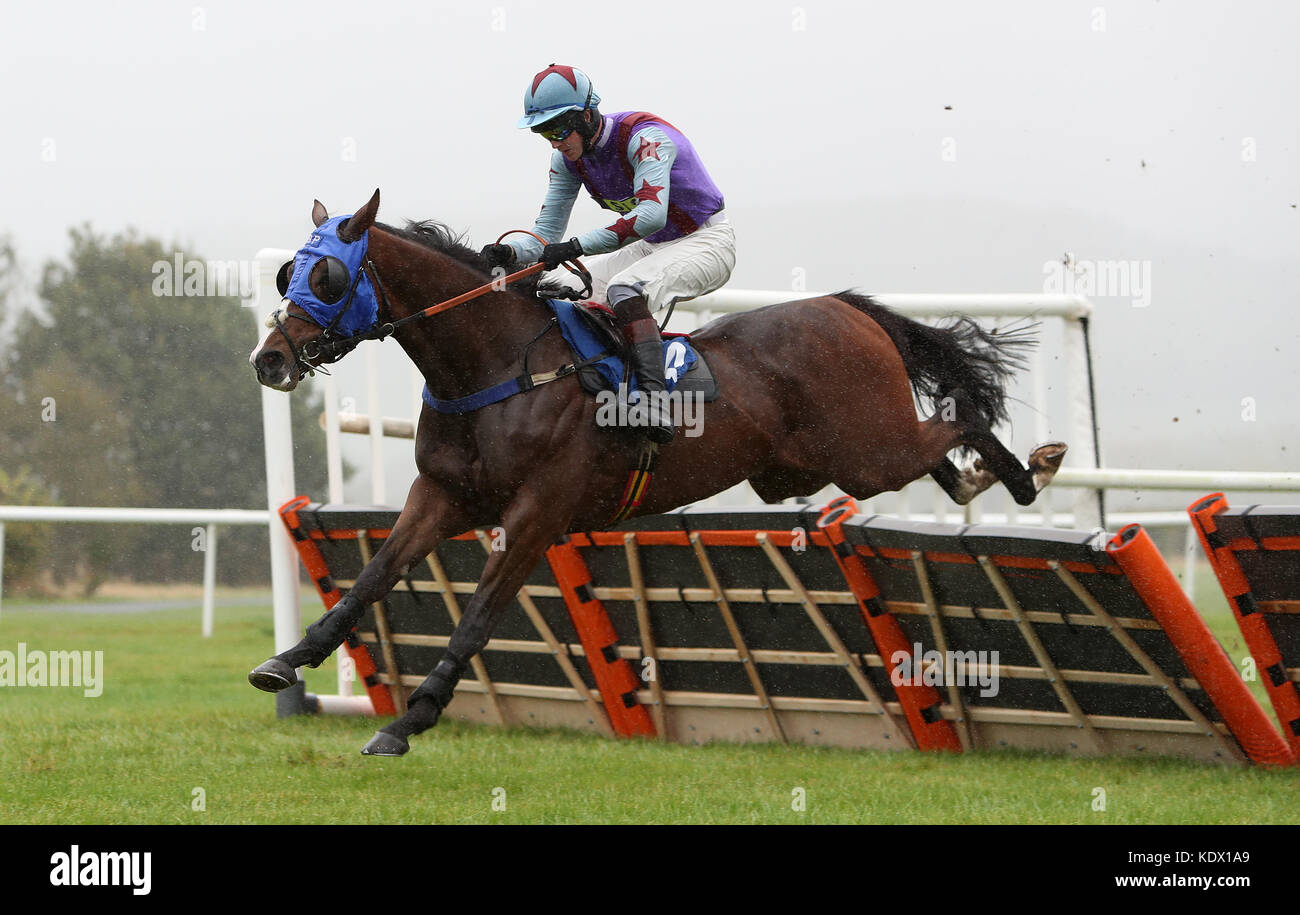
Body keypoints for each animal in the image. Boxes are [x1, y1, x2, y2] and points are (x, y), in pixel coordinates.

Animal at [245, 189, 1066, 753]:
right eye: (288, 271)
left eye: (325, 275)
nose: (271, 358)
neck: (495, 366)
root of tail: (845, 307)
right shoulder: (442, 495)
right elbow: (373, 575)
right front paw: (290, 659)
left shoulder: (537, 514)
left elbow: (476, 617)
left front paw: (409, 720)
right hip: (811, 468)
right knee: (941, 452)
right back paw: (991, 477)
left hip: (868, 448)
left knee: (957, 420)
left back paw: (1031, 469)